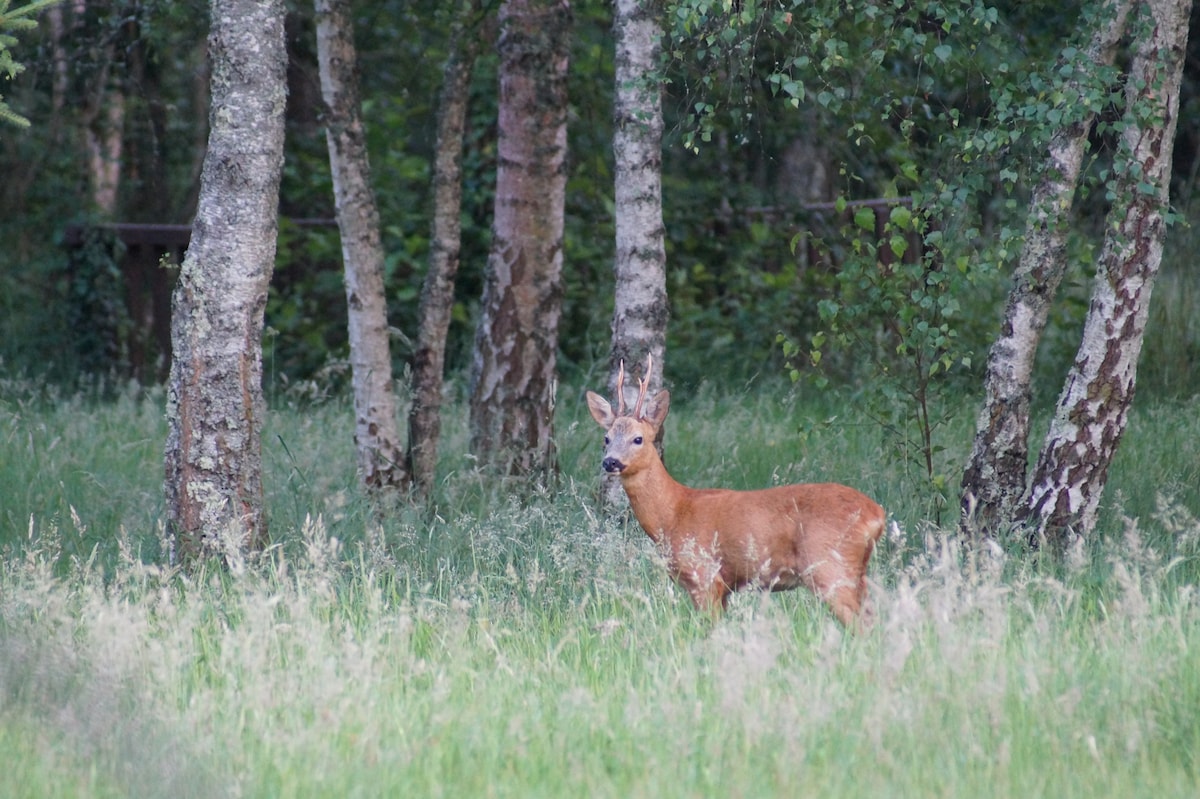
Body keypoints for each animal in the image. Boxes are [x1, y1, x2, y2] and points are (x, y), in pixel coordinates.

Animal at [585, 355, 888, 623]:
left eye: (638, 439)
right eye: (606, 438)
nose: (610, 462)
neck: (673, 514)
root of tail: (877, 514)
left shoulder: (705, 576)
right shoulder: (723, 588)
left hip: (830, 566)